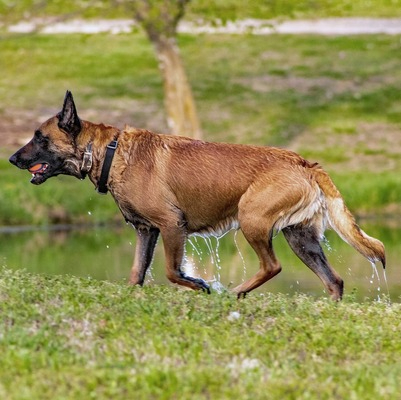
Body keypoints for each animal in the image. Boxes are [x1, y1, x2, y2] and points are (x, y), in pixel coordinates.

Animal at [10, 90, 384, 296]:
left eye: (39, 138)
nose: (12, 159)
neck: (110, 151)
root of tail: (305, 163)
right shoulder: (147, 231)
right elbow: (136, 274)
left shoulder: (171, 226)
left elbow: (172, 271)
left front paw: (201, 285)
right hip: (301, 238)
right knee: (334, 281)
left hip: (252, 219)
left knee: (272, 266)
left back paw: (234, 292)